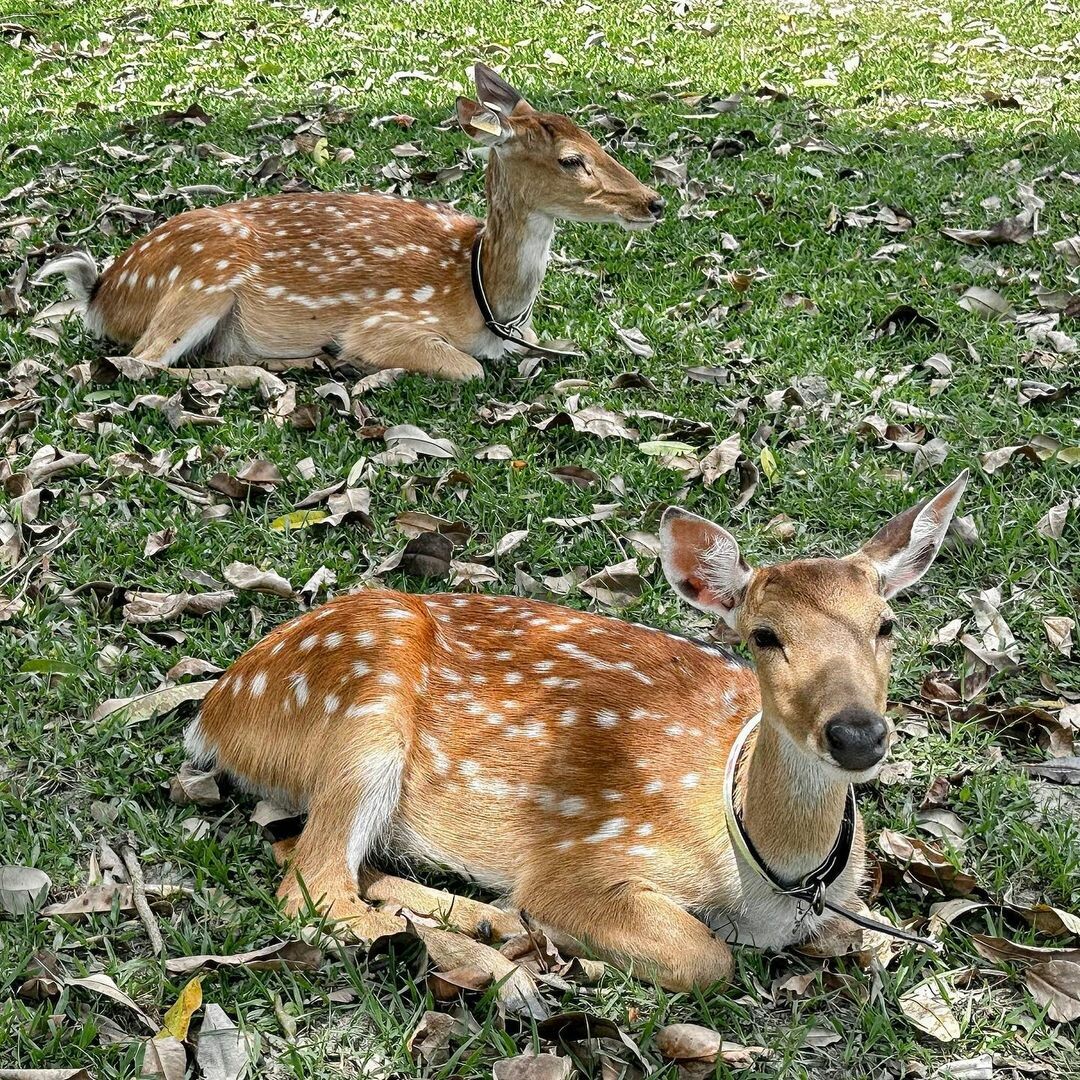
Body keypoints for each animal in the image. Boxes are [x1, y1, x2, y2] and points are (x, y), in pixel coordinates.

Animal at [33, 64, 663, 382]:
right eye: (572, 160)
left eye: (595, 139)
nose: (654, 202)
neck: (483, 292)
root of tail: (100, 291)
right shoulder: (385, 321)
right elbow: (468, 369)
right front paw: (354, 356)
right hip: (202, 280)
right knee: (140, 364)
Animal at [183, 473, 967, 991]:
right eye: (764, 635)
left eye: (886, 624)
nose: (857, 734)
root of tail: (213, 710)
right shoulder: (584, 856)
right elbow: (705, 959)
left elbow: (864, 938)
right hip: (364, 712)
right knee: (315, 887)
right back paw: (501, 933)